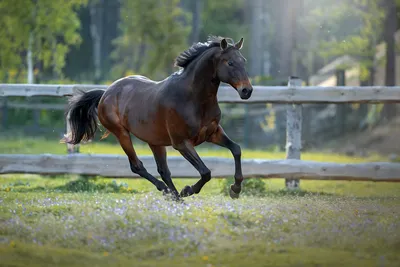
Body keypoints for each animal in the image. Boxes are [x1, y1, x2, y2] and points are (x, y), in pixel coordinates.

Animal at [65, 36, 253, 202]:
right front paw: (188, 190)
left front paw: (235, 189)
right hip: (122, 134)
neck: (193, 98)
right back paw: (170, 192)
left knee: (163, 170)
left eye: (243, 61)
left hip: (155, 141)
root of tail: (105, 93)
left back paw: (175, 197)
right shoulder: (181, 143)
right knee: (137, 166)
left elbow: (236, 149)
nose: (247, 91)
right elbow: (206, 172)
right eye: (230, 62)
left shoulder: (213, 133)